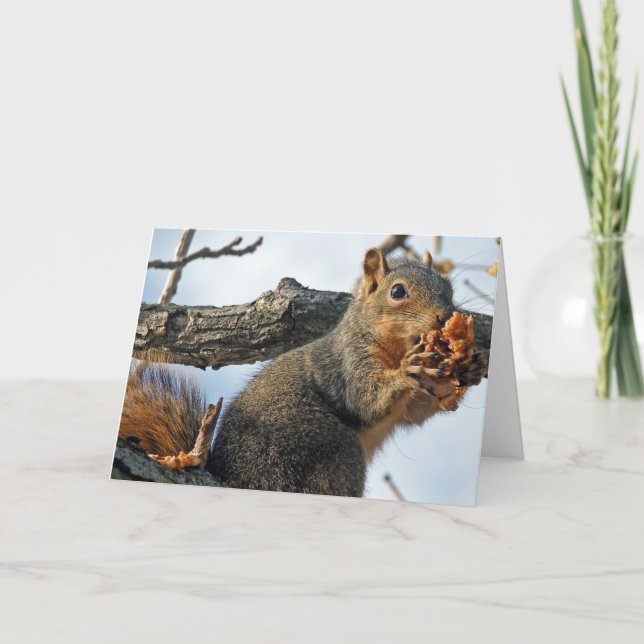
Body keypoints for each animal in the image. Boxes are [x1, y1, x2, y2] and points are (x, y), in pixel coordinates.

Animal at [119, 248, 488, 498]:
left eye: (448, 288)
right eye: (397, 291)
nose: (445, 316)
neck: (393, 345)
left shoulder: (408, 405)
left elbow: (414, 414)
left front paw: (470, 367)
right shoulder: (347, 364)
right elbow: (366, 402)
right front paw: (407, 372)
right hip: (319, 447)